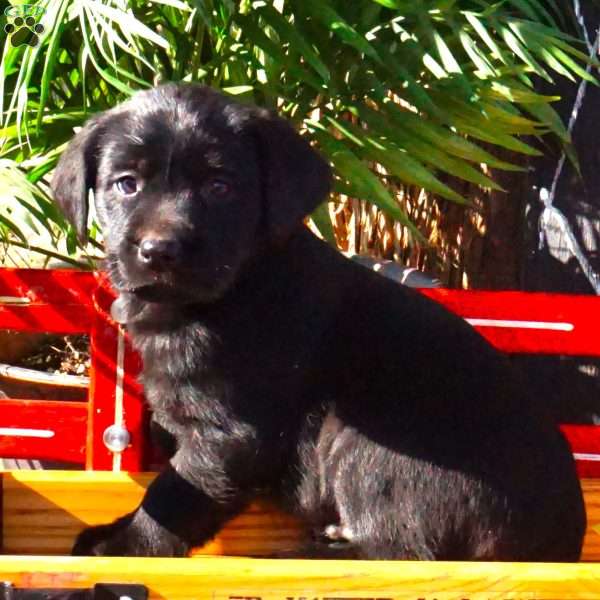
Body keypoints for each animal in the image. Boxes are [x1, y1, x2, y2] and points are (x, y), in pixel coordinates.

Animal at [51, 82, 584, 560]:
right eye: (126, 184)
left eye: (220, 188)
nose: (159, 251)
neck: (239, 285)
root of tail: (558, 542)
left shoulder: (230, 433)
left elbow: (176, 494)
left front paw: (123, 545)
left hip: (369, 438)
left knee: (404, 552)